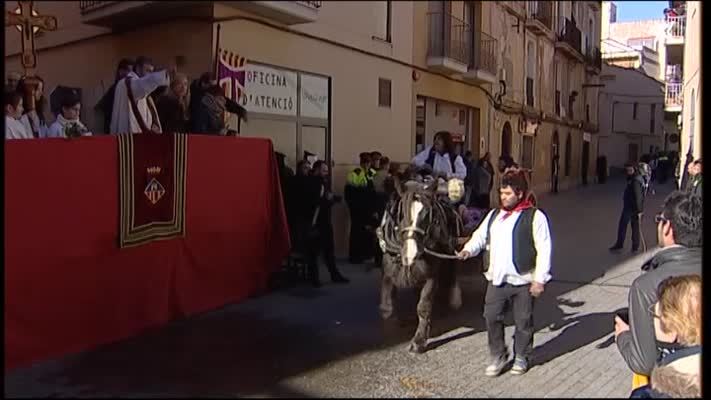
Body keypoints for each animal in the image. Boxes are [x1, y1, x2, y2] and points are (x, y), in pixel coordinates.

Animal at [378, 178, 462, 354]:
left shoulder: (431, 274)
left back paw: (454, 300)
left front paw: (419, 341)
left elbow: (424, 306)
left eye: (428, 215)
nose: (411, 252)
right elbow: (387, 305)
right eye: (402, 214)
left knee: (452, 272)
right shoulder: (389, 271)